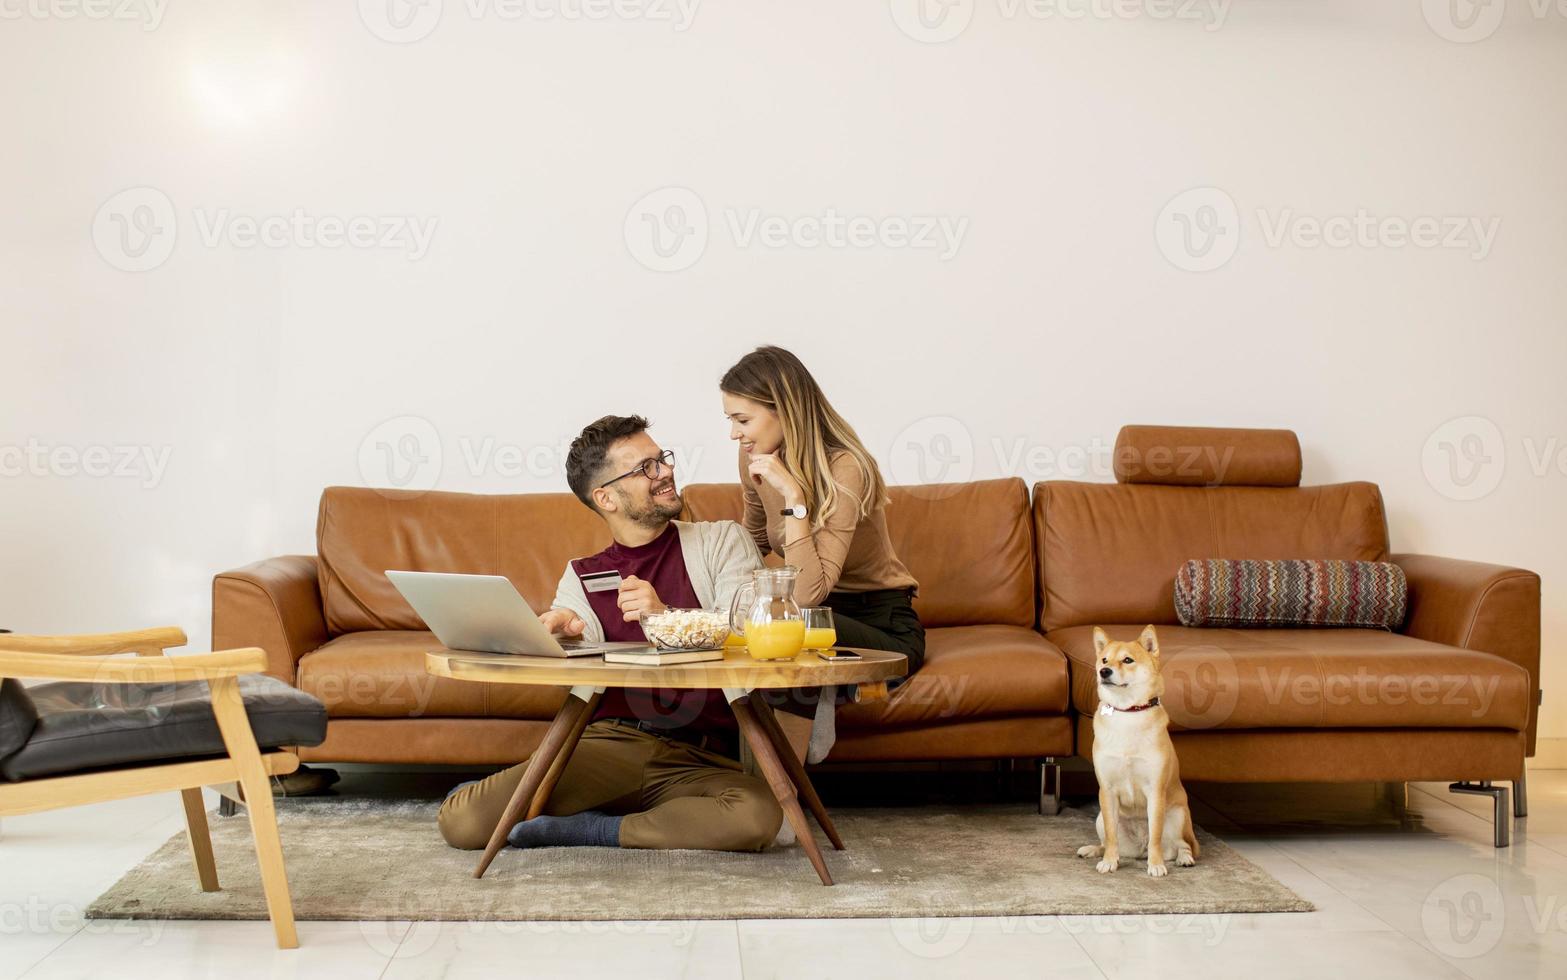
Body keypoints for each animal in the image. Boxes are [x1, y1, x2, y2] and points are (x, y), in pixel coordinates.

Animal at [1078, 627, 1197, 878]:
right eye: (1104, 660)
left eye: (1127, 660)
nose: (1104, 671)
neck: (1128, 712)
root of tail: (1138, 849)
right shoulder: (1107, 791)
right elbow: (1111, 837)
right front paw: (1109, 862)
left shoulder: (1155, 791)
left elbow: (1155, 837)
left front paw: (1156, 864)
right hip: (1100, 818)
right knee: (1107, 841)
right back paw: (1093, 850)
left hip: (1178, 816)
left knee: (1182, 844)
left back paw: (1184, 859)